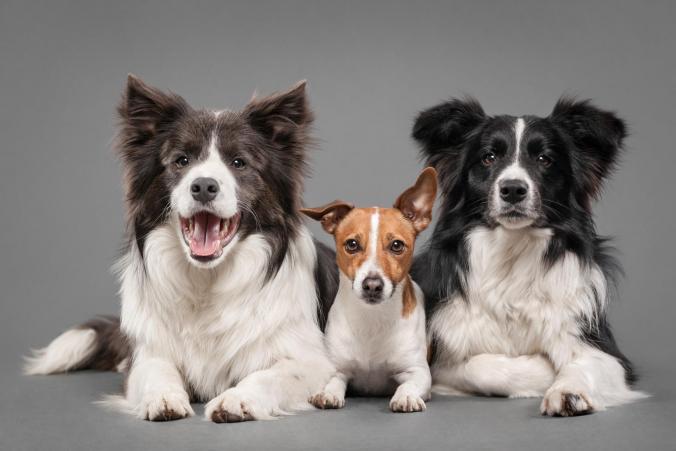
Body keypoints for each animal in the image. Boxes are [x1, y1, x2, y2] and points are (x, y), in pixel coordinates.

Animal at [302, 167, 438, 414]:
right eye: (352, 244)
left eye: (397, 245)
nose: (373, 285)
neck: (372, 320)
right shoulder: (338, 368)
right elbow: (333, 381)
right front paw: (327, 393)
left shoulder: (418, 372)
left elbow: (409, 384)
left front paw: (405, 396)